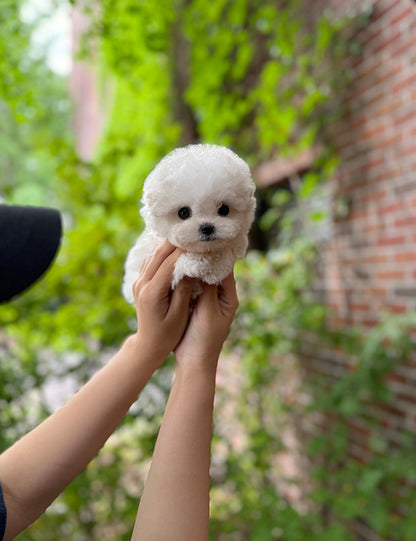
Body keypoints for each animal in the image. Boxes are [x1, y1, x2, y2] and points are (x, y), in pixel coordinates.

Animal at [122, 143, 255, 304]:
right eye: (183, 212)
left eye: (224, 209)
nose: (207, 228)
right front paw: (194, 264)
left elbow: (224, 257)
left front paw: (212, 268)